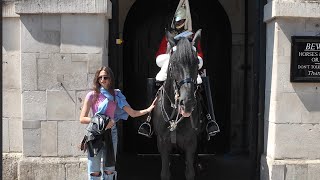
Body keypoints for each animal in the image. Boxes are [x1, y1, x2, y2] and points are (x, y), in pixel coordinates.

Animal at [151, 28, 204, 179]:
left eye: (196, 62)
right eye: (173, 63)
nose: (187, 102)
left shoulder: (191, 142)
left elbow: (190, 172)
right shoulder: (163, 143)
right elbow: (165, 173)